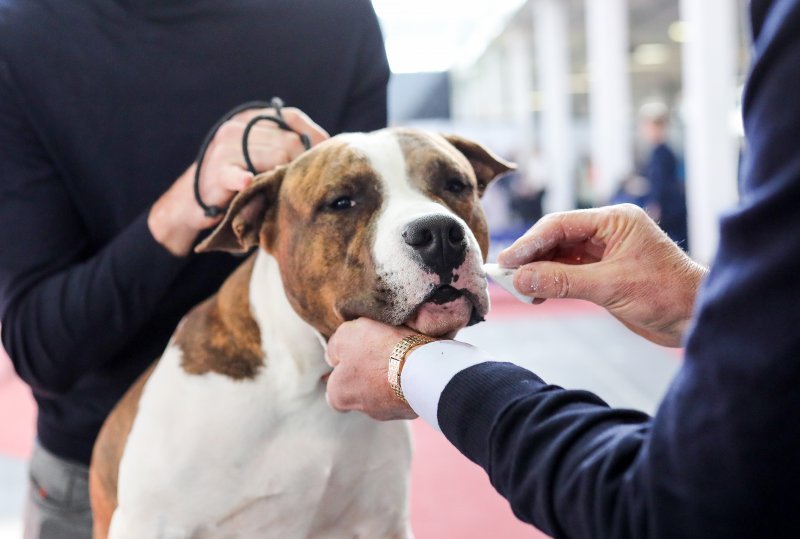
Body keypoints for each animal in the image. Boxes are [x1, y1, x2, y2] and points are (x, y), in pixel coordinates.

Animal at [87, 129, 512, 536]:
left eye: (455, 185)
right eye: (341, 202)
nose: (438, 232)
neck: (303, 382)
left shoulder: (381, 521)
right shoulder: (150, 523)